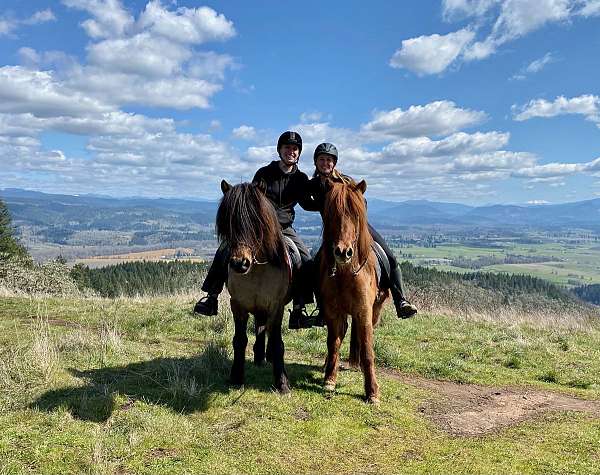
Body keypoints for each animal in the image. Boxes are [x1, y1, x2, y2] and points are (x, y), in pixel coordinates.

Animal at [217, 180, 292, 392]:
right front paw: (236, 376)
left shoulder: (276, 306)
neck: (257, 269)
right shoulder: (238, 305)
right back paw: (259, 357)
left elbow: (277, 342)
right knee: (260, 327)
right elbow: (240, 340)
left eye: (256, 222)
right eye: (228, 223)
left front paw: (282, 382)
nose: (239, 264)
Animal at [318, 180, 390, 404]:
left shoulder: (364, 311)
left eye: (356, 215)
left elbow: (367, 348)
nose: (343, 252)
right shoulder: (333, 312)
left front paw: (372, 392)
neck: (346, 274)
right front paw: (330, 379)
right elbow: (333, 343)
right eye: (331, 214)